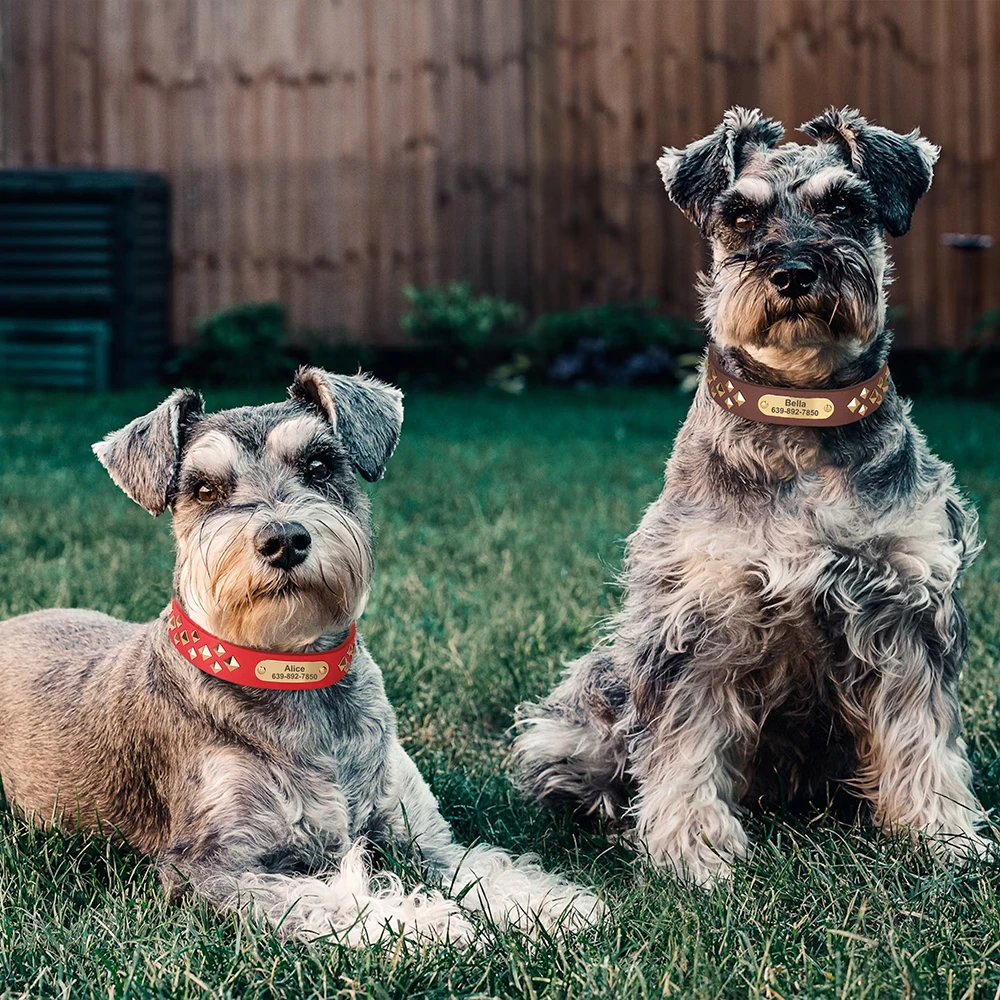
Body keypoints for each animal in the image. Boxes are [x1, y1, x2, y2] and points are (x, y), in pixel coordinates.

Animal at [0, 368, 596, 936]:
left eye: (319, 464)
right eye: (204, 489)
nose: (284, 539)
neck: (293, 670)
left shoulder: (421, 833)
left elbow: (487, 867)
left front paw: (557, 907)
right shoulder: (211, 865)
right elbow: (327, 899)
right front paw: (426, 925)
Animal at [516, 109, 992, 888]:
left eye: (844, 207)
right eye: (741, 214)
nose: (794, 272)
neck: (800, 414)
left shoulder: (908, 608)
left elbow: (924, 735)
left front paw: (944, 835)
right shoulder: (697, 618)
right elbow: (683, 745)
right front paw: (692, 851)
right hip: (589, 701)